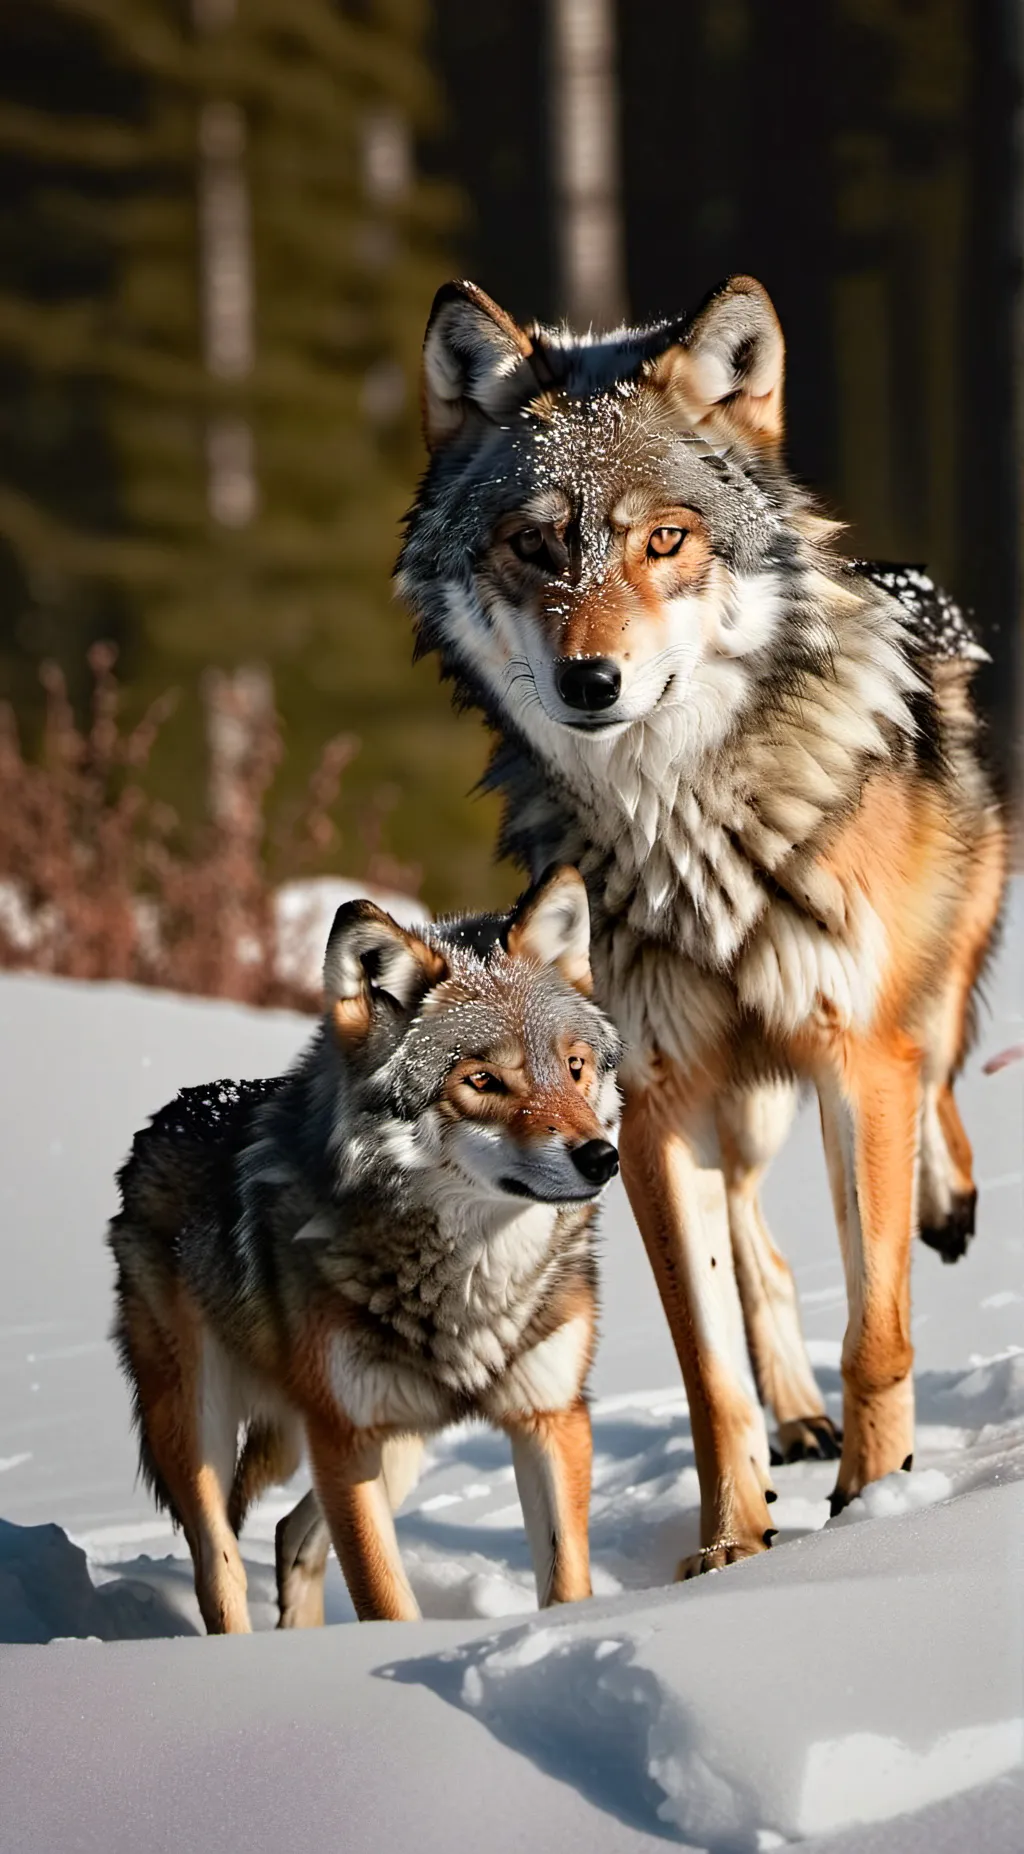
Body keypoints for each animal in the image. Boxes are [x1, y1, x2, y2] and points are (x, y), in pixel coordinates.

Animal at [108, 867, 621, 1630]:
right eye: (482, 1081)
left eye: (575, 1067)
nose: (602, 1158)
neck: (470, 1279)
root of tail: (157, 1125)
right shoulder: (343, 1439)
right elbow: (385, 1601)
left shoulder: (551, 1417)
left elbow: (567, 1584)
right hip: (204, 1428)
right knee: (220, 1566)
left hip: (398, 1441)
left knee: (291, 1533)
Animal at [396, 275, 1007, 1570]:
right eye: (536, 544)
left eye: (663, 540)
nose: (590, 681)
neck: (685, 824)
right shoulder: (652, 1095)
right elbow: (706, 1369)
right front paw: (734, 1543)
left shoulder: (852, 1055)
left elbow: (876, 1327)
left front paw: (875, 1510)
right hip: (742, 1103)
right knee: (758, 1244)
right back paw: (797, 1422)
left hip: (895, 1018)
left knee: (935, 1079)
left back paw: (944, 1208)